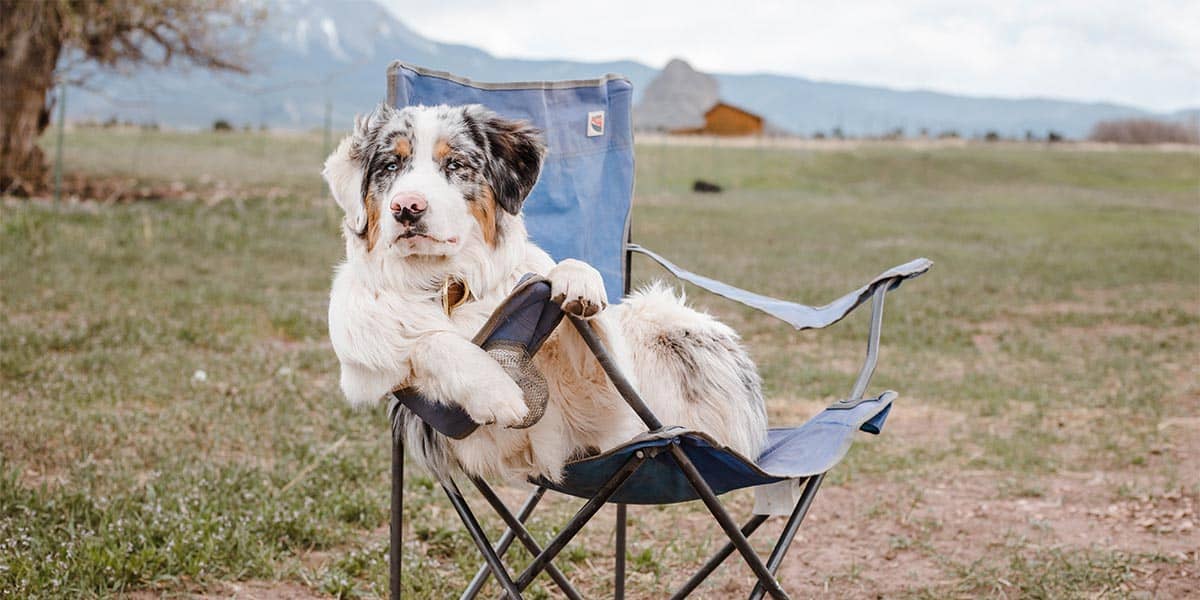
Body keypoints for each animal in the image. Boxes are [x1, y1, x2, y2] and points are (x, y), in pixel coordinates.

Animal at [324, 104, 763, 482]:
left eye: (455, 164)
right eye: (390, 166)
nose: (406, 207)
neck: (449, 285)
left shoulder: (601, 417)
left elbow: (575, 308)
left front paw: (576, 279)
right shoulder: (368, 375)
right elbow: (432, 341)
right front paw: (496, 389)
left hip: (662, 318)